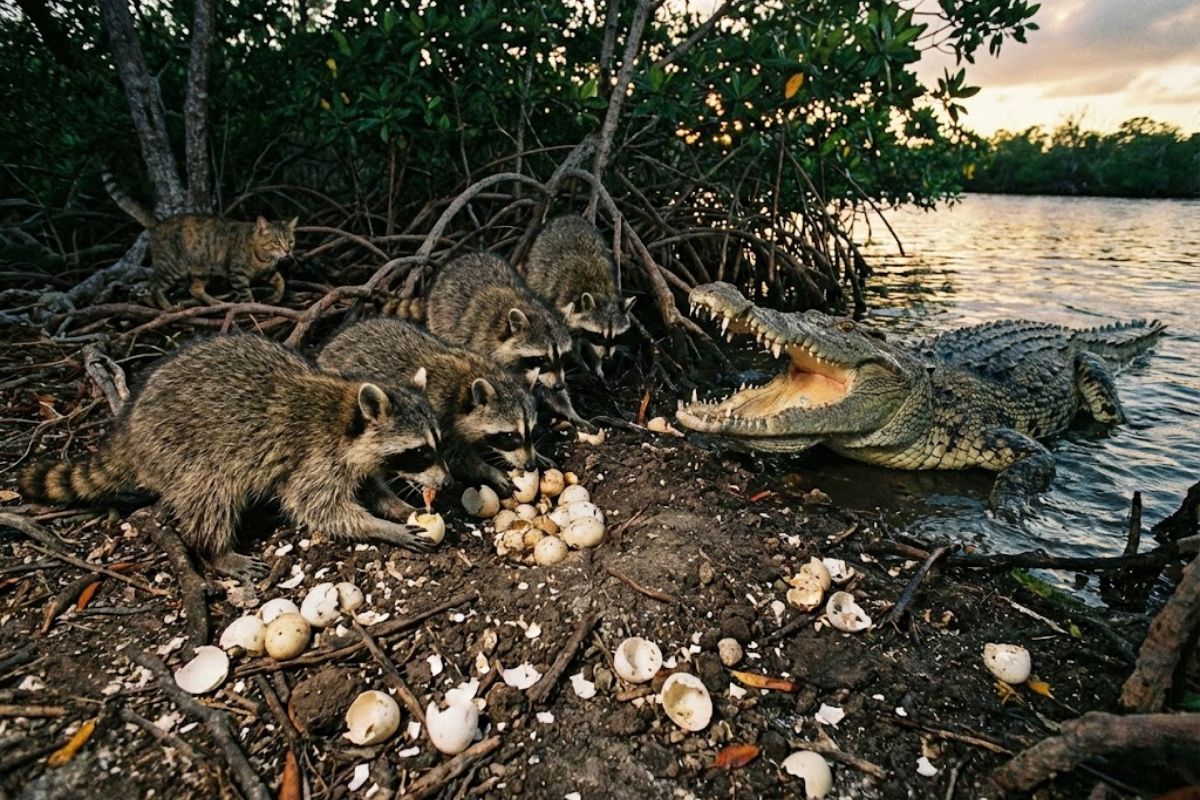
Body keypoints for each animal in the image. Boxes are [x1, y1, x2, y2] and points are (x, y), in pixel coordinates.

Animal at [18, 335, 448, 582]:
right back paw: (216, 550)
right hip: (180, 448)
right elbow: (318, 507)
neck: (346, 415)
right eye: (419, 451)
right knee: (211, 492)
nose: (447, 482)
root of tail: (128, 424)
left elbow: (369, 482)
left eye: (437, 444)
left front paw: (393, 505)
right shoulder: (315, 457)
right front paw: (380, 526)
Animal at [103, 173, 296, 309]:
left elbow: (281, 281)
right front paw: (253, 308)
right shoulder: (237, 275)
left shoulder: (268, 272)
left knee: (194, 289)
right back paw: (167, 308)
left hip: (201, 270)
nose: (287, 251)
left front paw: (276, 297)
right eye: (276, 242)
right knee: (154, 286)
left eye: (291, 241)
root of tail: (159, 223)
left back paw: (218, 303)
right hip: (172, 268)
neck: (263, 258)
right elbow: (247, 296)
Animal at [318, 318, 539, 493]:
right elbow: (458, 460)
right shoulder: (441, 415)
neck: (466, 382)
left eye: (532, 430)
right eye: (509, 435)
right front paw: (488, 471)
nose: (530, 465)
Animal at [424, 252, 591, 428]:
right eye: (540, 358)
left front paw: (570, 411)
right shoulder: (483, 346)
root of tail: (466, 255)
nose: (560, 385)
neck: (529, 308)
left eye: (563, 356)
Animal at [523, 216, 635, 373]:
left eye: (616, 337)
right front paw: (582, 362)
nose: (607, 358)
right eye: (598, 336)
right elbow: (571, 341)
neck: (601, 292)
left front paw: (598, 363)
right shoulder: (564, 308)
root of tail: (567, 217)